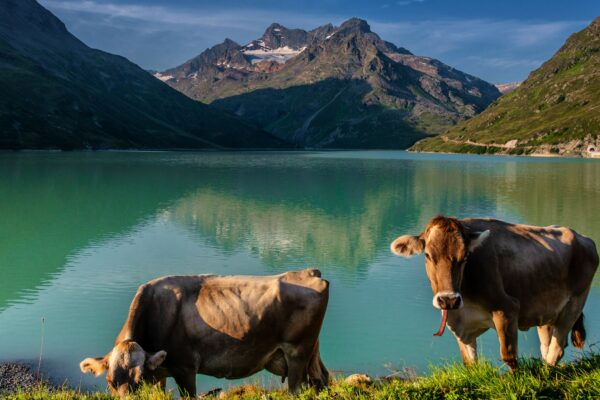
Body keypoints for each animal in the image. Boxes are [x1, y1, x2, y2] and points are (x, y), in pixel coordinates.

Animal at [78, 268, 328, 396]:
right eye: (110, 381)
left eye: (138, 381)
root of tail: (309, 272)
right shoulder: (160, 372)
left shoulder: (185, 368)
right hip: (310, 352)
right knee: (321, 379)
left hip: (297, 352)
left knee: (297, 389)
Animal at [392, 217, 596, 370]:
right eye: (427, 255)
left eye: (465, 257)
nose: (448, 300)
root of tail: (582, 237)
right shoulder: (458, 323)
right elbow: (469, 362)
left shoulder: (507, 308)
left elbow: (509, 357)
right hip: (546, 311)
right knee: (547, 345)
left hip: (575, 304)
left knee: (557, 347)